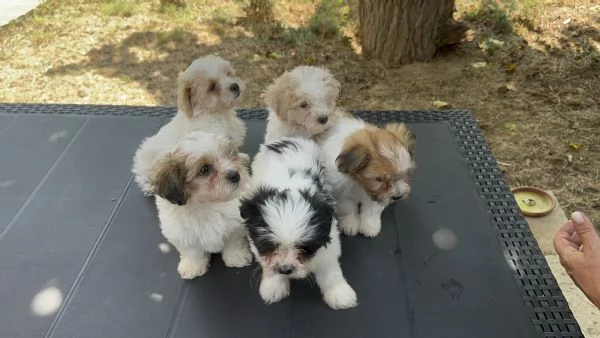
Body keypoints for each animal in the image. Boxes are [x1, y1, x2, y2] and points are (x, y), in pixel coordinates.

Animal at [151, 131, 254, 278]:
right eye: (204, 169)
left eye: (230, 154)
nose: (236, 175)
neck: (207, 204)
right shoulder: (182, 234)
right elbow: (192, 252)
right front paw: (193, 267)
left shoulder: (235, 225)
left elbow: (234, 242)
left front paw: (237, 257)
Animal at [239, 137, 356, 308]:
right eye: (268, 247)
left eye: (306, 248)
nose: (285, 269)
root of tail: (287, 139)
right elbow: (268, 266)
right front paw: (274, 286)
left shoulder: (328, 242)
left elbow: (329, 268)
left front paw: (339, 293)